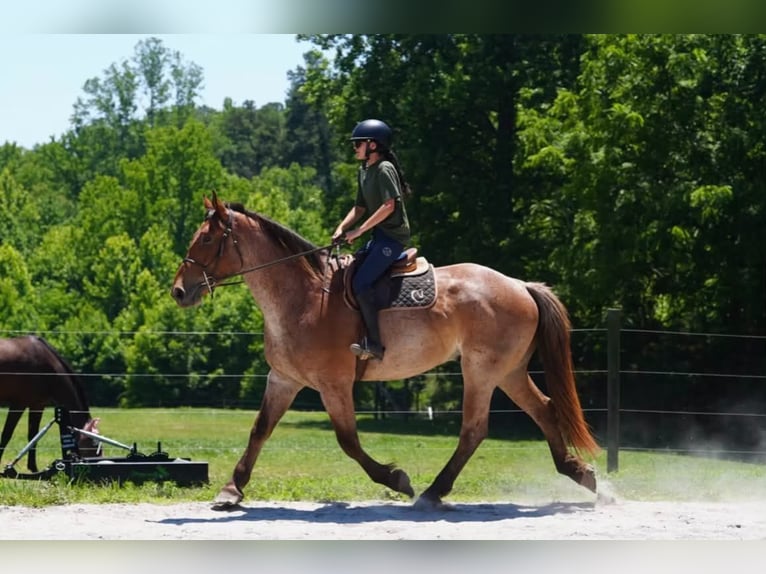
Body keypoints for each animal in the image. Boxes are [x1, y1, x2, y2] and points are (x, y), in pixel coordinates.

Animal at [0, 335, 101, 472]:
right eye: (93, 444)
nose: (98, 465)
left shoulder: (37, 405)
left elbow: (33, 436)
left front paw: (33, 468)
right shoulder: (18, 404)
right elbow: (6, 435)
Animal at [171, 193, 601, 510]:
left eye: (206, 239)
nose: (178, 291)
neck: (303, 298)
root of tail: (520, 285)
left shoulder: (334, 384)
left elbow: (348, 440)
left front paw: (396, 479)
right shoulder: (284, 379)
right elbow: (260, 429)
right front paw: (232, 489)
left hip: (481, 371)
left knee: (474, 429)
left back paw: (432, 492)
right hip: (508, 372)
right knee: (544, 409)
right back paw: (580, 473)